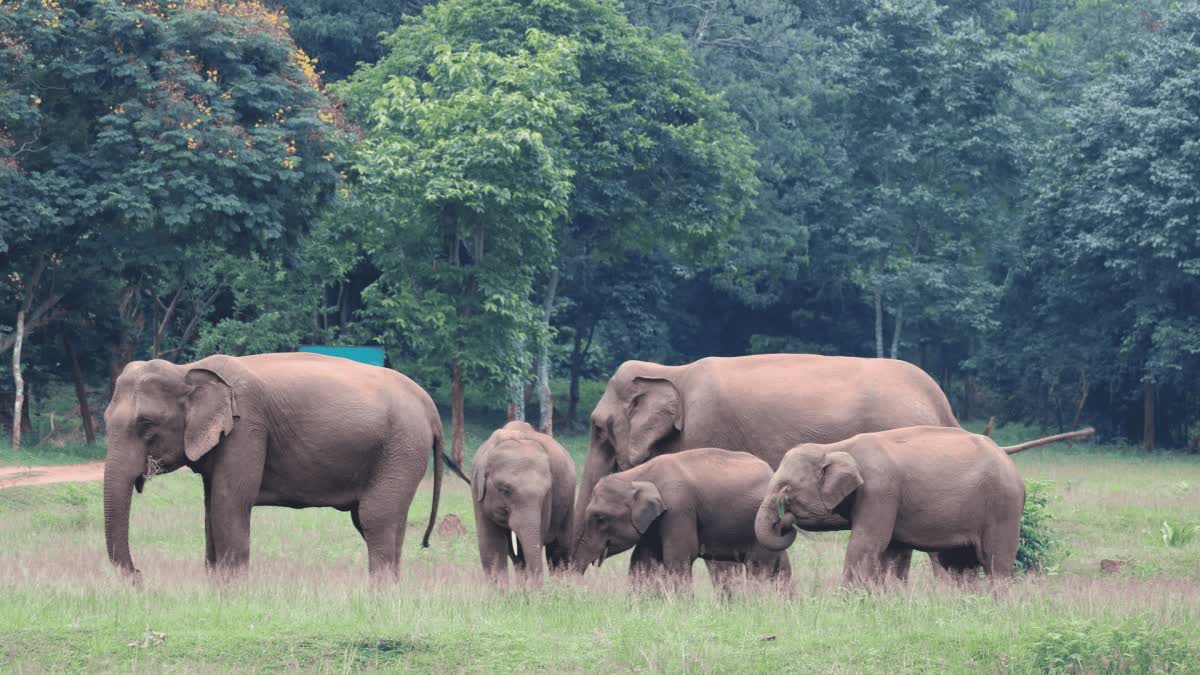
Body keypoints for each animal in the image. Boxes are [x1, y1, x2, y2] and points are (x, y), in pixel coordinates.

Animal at [103, 353, 460, 579]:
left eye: (146, 424)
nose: (139, 576)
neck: (188, 369)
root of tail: (429, 406)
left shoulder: (246, 430)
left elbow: (228, 504)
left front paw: (232, 597)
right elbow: (210, 510)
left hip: (401, 447)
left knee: (376, 518)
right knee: (384, 522)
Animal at [471, 421, 576, 584]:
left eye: (546, 492)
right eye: (504, 490)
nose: (539, 588)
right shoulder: (477, 491)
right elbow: (492, 545)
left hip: (569, 501)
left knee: (559, 550)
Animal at [573, 447, 791, 591]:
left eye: (600, 518)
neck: (638, 474)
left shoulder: (678, 509)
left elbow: (679, 557)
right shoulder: (656, 522)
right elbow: (642, 561)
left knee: (759, 567)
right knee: (781, 566)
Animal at [754, 426, 1095, 585]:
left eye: (786, 490)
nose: (784, 520)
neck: (837, 445)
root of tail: (1006, 457)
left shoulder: (880, 490)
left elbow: (867, 543)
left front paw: (847, 598)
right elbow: (890, 550)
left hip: (1004, 504)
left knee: (995, 560)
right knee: (959, 565)